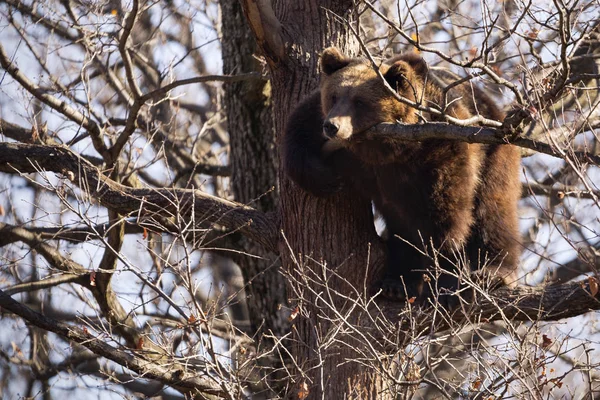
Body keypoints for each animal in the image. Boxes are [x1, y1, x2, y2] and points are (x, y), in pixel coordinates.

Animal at [282, 47, 520, 306]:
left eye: (359, 101)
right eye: (334, 96)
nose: (332, 126)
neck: (387, 150)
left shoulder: (441, 145)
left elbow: (446, 218)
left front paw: (446, 284)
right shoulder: (323, 125)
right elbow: (298, 130)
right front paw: (326, 179)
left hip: (495, 150)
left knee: (492, 210)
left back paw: (494, 272)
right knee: (401, 226)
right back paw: (396, 283)